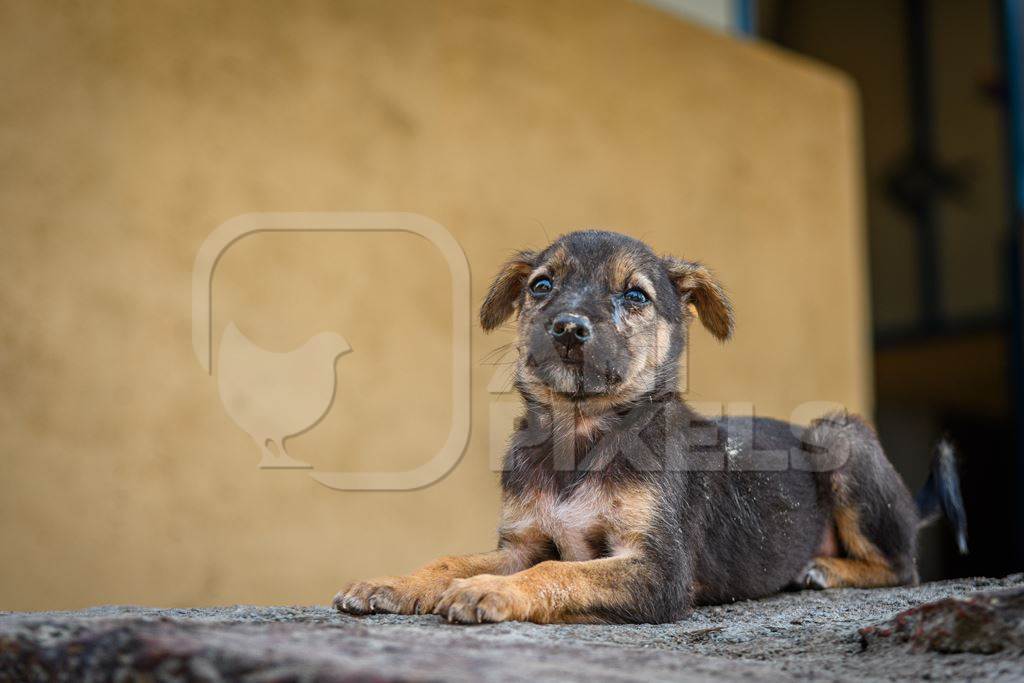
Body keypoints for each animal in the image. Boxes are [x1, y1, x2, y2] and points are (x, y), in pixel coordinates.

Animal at [333, 229, 966, 626]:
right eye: (541, 286)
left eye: (635, 296)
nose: (568, 328)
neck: (582, 433)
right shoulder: (521, 541)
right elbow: (455, 561)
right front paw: (393, 583)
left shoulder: (660, 571)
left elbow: (559, 572)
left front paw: (491, 591)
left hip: (838, 435)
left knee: (903, 567)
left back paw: (825, 569)